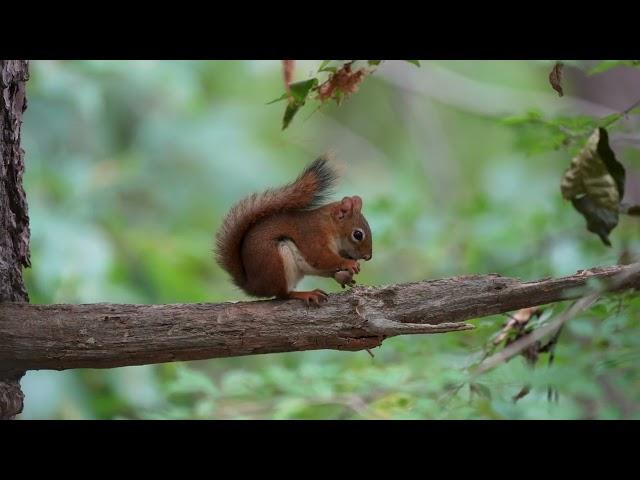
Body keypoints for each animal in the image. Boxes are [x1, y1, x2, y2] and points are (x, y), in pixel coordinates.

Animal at [216, 159, 372, 306]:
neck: (329, 225)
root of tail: (253, 286)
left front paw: (347, 274)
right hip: (276, 262)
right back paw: (305, 294)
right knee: (282, 294)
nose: (368, 257)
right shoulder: (312, 235)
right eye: (358, 235)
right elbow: (320, 257)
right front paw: (349, 263)